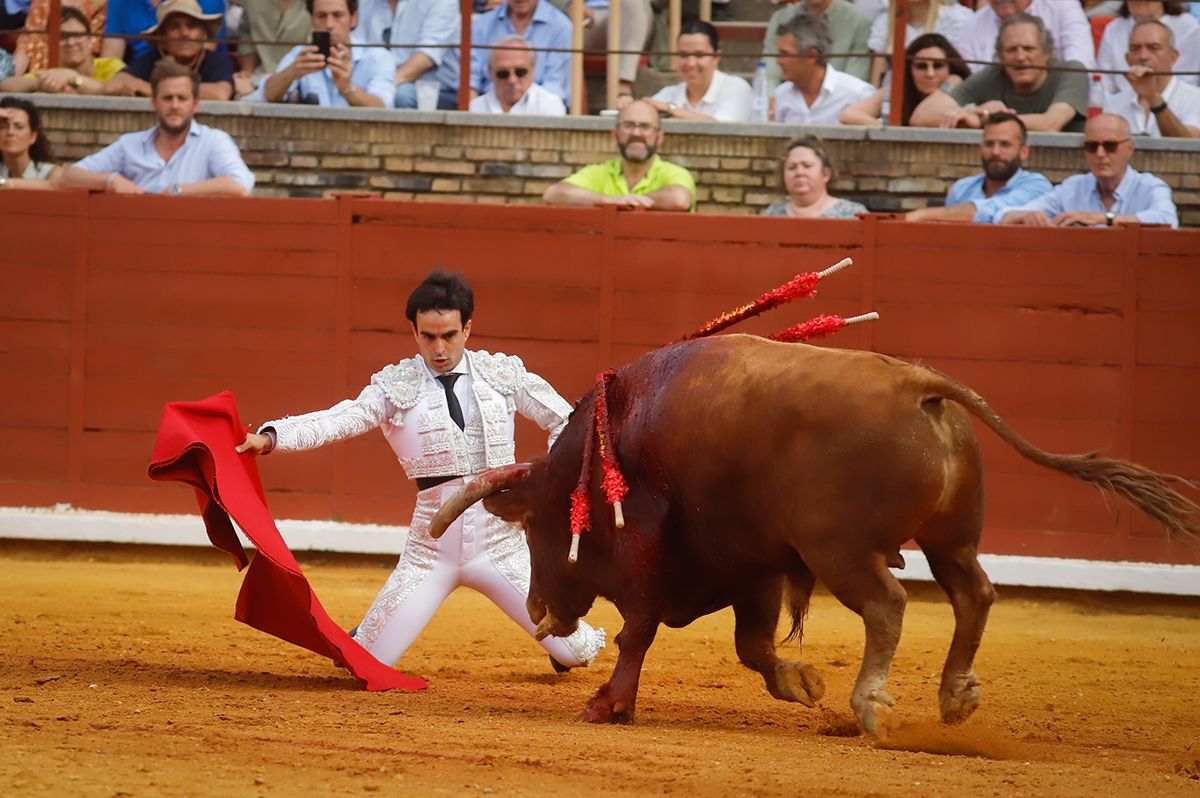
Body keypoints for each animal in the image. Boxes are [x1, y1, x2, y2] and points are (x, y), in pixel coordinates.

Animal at [427, 333, 1195, 739]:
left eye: (534, 525)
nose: (537, 609)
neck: (615, 439)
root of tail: (920, 387)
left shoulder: (654, 547)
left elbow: (638, 630)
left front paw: (607, 703)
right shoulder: (753, 565)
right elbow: (752, 644)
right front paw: (801, 683)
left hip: (843, 551)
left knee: (889, 605)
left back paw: (873, 706)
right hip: (950, 540)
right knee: (973, 594)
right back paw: (954, 696)